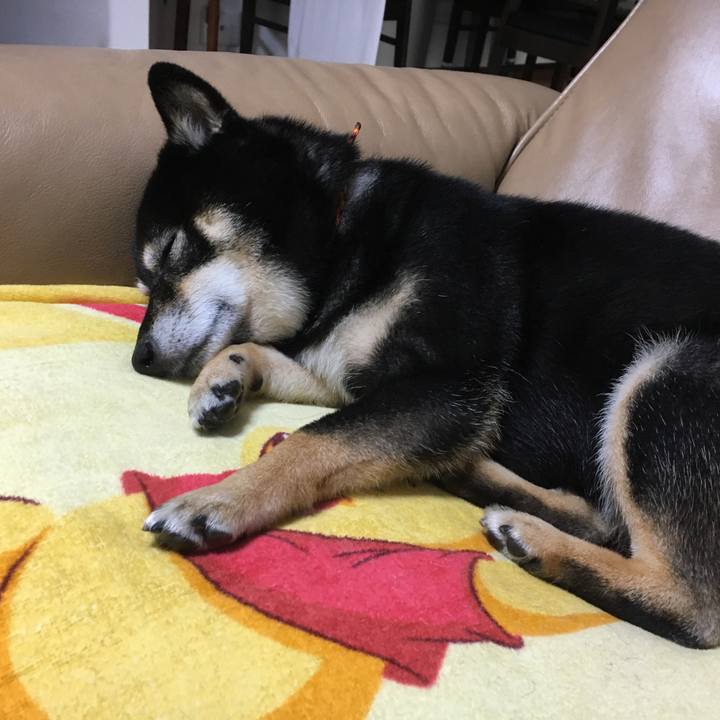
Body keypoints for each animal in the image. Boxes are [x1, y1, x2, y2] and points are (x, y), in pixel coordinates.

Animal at [132, 62, 720, 649]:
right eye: (142, 283)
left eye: (172, 251)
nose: (140, 360)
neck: (342, 240)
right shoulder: (350, 375)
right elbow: (253, 348)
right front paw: (221, 382)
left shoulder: (445, 386)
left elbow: (311, 441)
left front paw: (219, 499)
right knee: (604, 521)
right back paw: (476, 480)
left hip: (668, 373)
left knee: (694, 609)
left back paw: (537, 540)